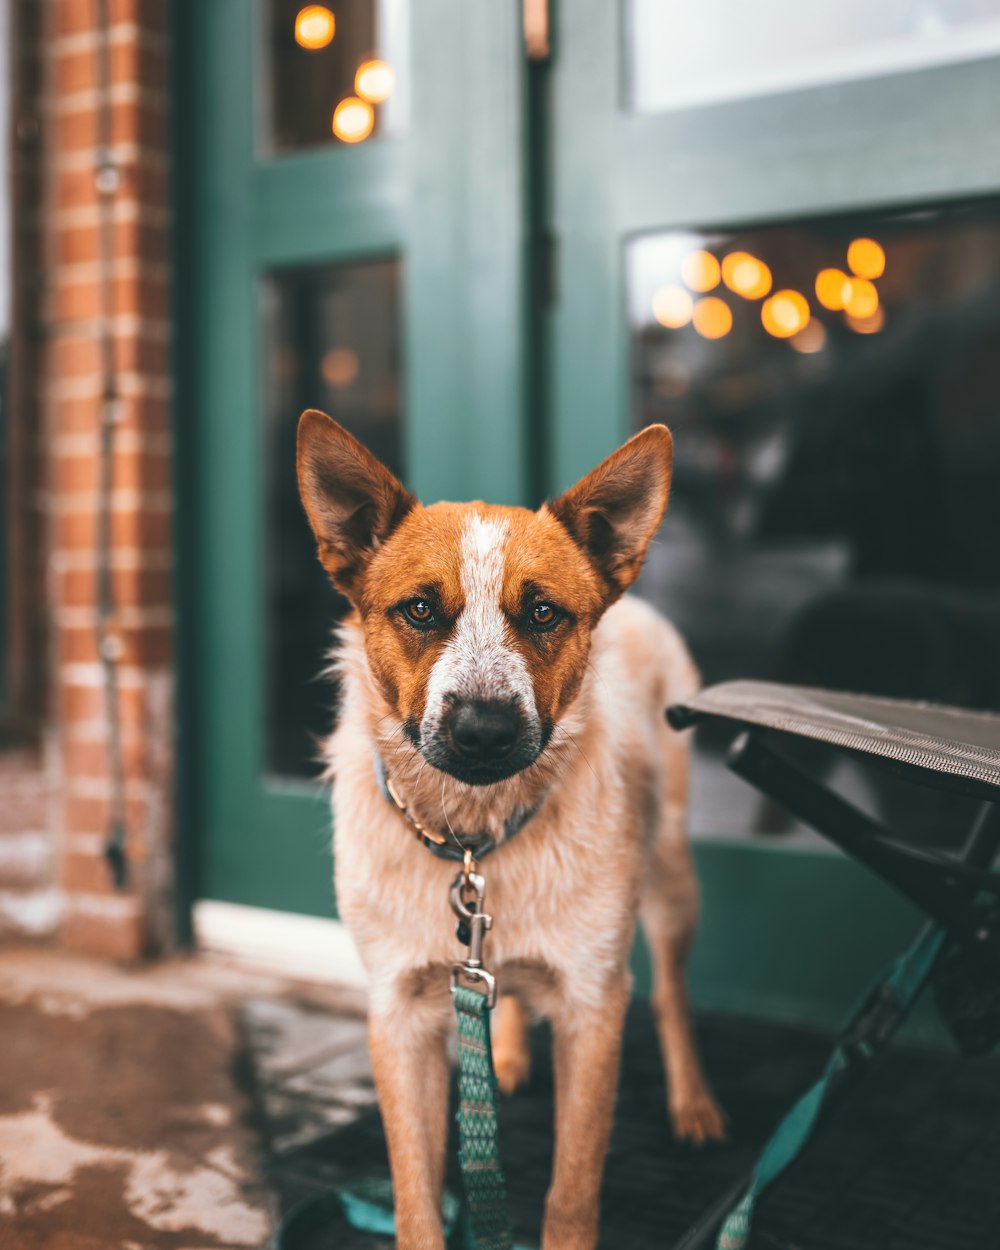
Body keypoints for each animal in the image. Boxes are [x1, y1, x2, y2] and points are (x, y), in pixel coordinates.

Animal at [292, 412, 725, 1250]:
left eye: (545, 613)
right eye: (420, 610)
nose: (483, 732)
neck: (472, 837)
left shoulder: (594, 1005)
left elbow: (571, 1194)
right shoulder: (399, 1012)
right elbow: (416, 1197)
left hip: (673, 877)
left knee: (674, 994)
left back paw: (692, 1102)